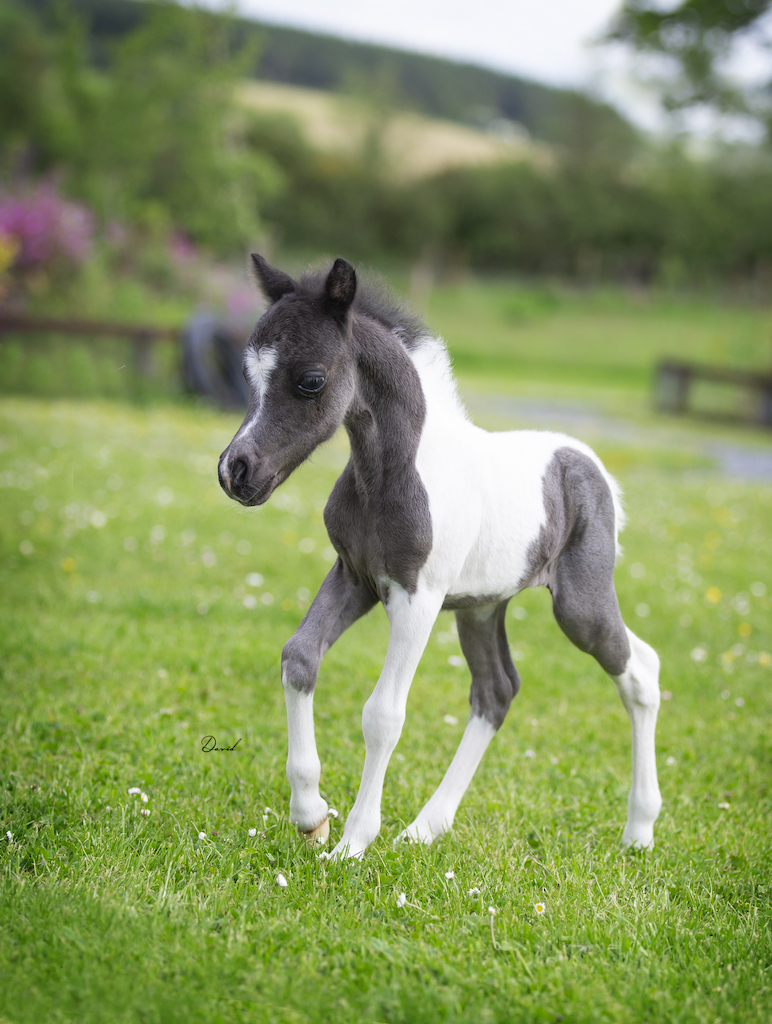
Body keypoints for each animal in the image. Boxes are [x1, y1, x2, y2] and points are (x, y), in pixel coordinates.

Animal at [218, 255, 662, 861]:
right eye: (248, 376)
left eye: (311, 380)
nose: (235, 472)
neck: (392, 472)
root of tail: (591, 464)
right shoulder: (355, 576)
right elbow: (299, 657)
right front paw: (311, 815)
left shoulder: (417, 596)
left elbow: (383, 713)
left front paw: (352, 842)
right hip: (481, 607)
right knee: (496, 691)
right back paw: (425, 828)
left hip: (581, 604)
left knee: (641, 670)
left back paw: (639, 830)